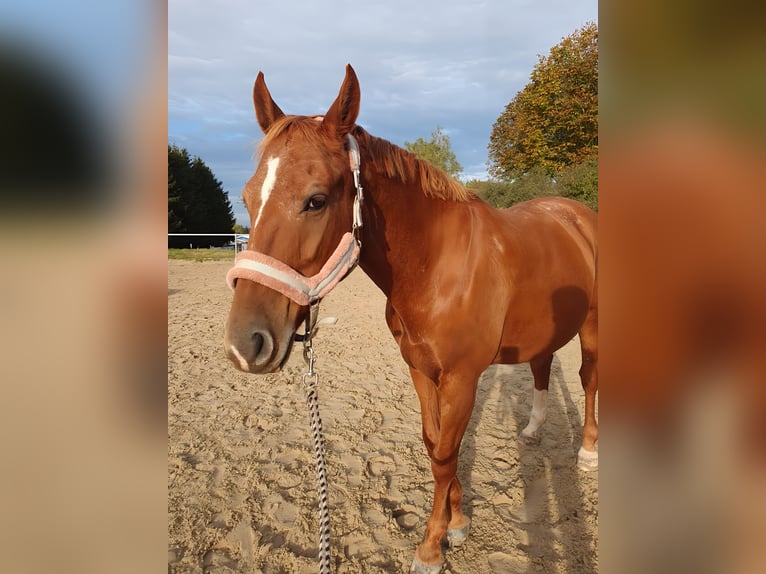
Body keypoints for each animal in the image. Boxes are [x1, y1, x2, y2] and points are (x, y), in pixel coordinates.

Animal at [224, 64, 598, 573]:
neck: (436, 264)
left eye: (316, 200)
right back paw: (533, 431)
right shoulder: (421, 371)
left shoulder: (461, 377)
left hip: (593, 327)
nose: (245, 344)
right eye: (247, 198)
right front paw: (456, 523)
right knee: (542, 367)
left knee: (588, 378)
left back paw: (588, 452)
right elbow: (434, 444)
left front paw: (432, 546)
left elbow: (445, 454)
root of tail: (576, 214)